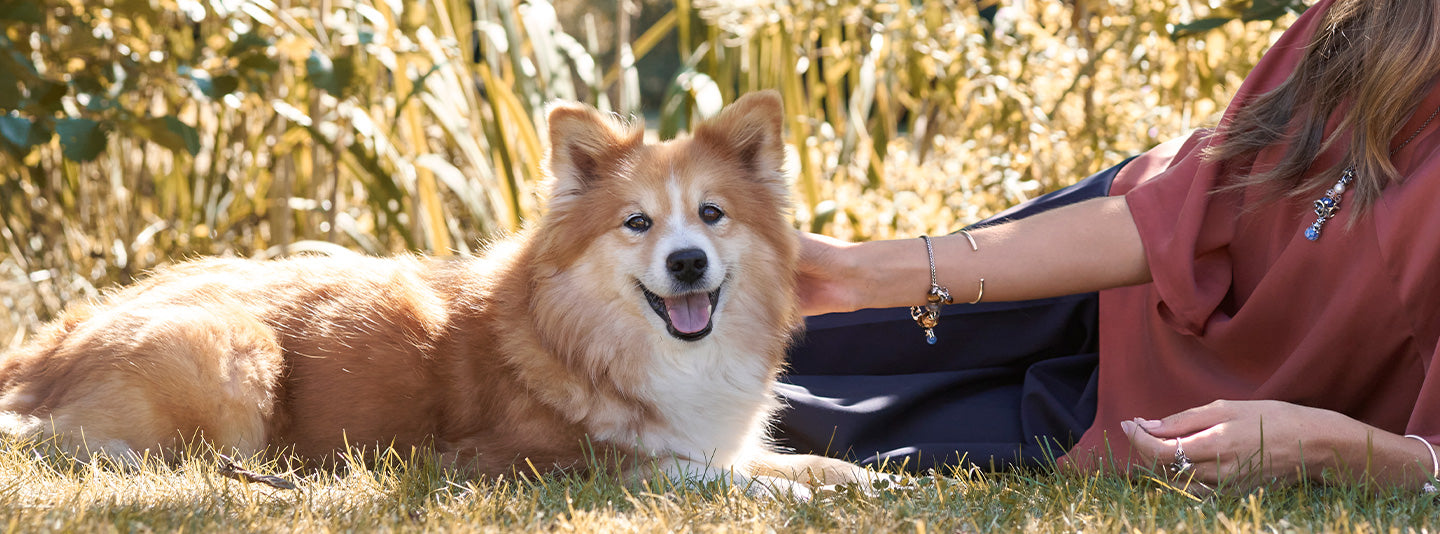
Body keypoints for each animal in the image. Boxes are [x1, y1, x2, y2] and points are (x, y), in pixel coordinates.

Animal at [0, 91, 881, 498]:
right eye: (638, 223)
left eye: (711, 214)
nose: (690, 263)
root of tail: (46, 349)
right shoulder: (523, 462)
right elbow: (687, 472)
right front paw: (780, 490)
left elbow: (803, 461)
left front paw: (872, 480)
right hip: (230, 347)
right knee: (81, 444)